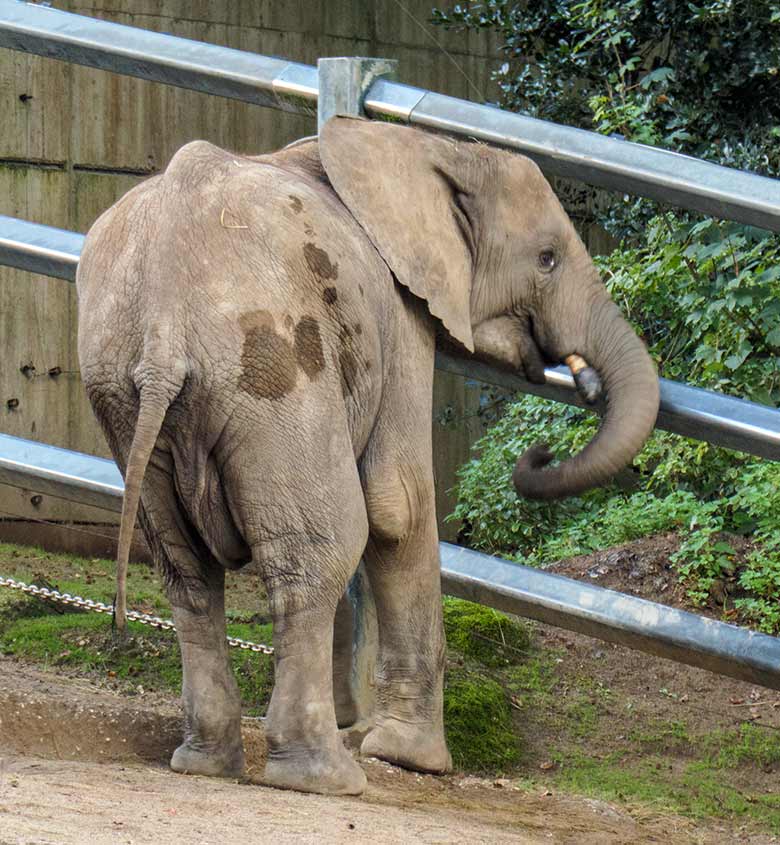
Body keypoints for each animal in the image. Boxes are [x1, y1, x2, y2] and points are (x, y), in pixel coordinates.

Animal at [76, 115, 660, 796]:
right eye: (547, 258)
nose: (538, 451)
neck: (427, 147)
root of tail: (165, 328)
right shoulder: (398, 312)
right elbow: (397, 503)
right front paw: (410, 758)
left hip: (120, 392)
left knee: (187, 570)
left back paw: (206, 762)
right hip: (275, 368)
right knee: (320, 548)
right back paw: (323, 777)